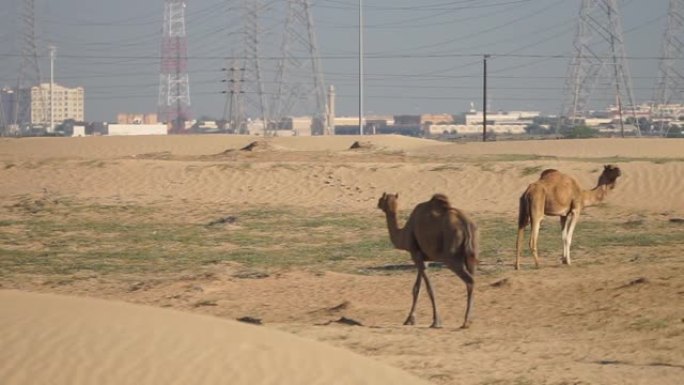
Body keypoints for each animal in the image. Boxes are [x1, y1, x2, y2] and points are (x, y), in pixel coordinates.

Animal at [376, 192, 478, 328]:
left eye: (381, 198)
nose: (377, 203)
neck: (404, 233)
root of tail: (465, 224)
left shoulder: (415, 254)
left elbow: (429, 288)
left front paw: (436, 321)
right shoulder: (424, 258)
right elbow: (417, 288)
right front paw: (410, 320)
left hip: (451, 256)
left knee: (470, 280)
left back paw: (466, 322)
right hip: (471, 253)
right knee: (472, 278)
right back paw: (470, 320)